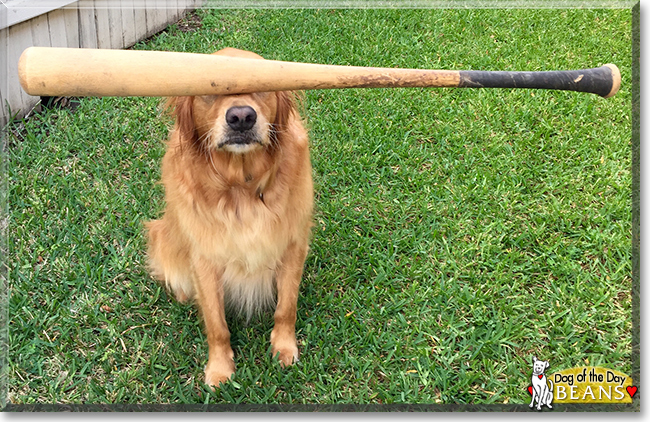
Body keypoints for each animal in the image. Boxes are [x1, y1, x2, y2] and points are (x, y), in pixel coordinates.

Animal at [146, 47, 312, 388]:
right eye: (209, 90)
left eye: (262, 85)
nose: (241, 117)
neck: (241, 186)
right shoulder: (205, 259)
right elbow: (216, 324)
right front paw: (220, 369)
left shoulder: (293, 244)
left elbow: (286, 307)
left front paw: (284, 347)